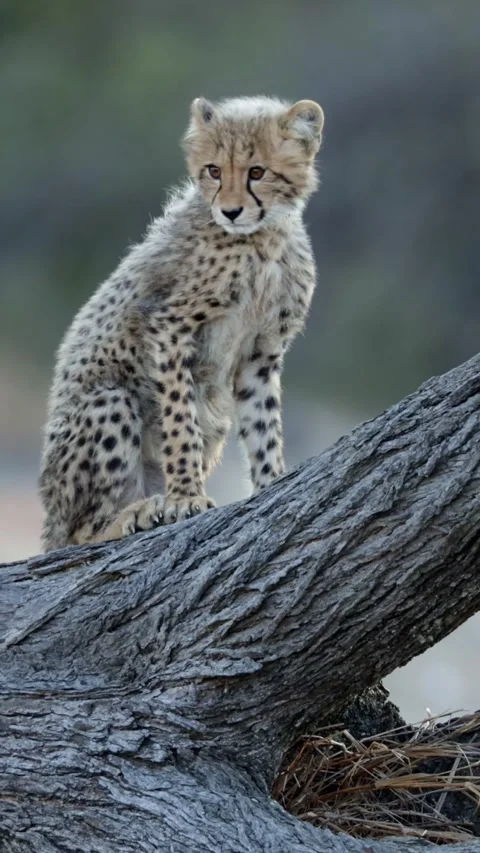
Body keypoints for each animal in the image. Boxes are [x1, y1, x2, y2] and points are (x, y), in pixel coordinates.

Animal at [39, 95, 324, 550]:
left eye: (257, 172)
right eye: (213, 170)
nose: (230, 211)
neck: (261, 238)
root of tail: (49, 520)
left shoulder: (261, 353)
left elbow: (264, 426)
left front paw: (273, 484)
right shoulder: (169, 327)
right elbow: (179, 420)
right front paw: (186, 497)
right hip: (109, 402)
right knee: (81, 533)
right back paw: (136, 513)